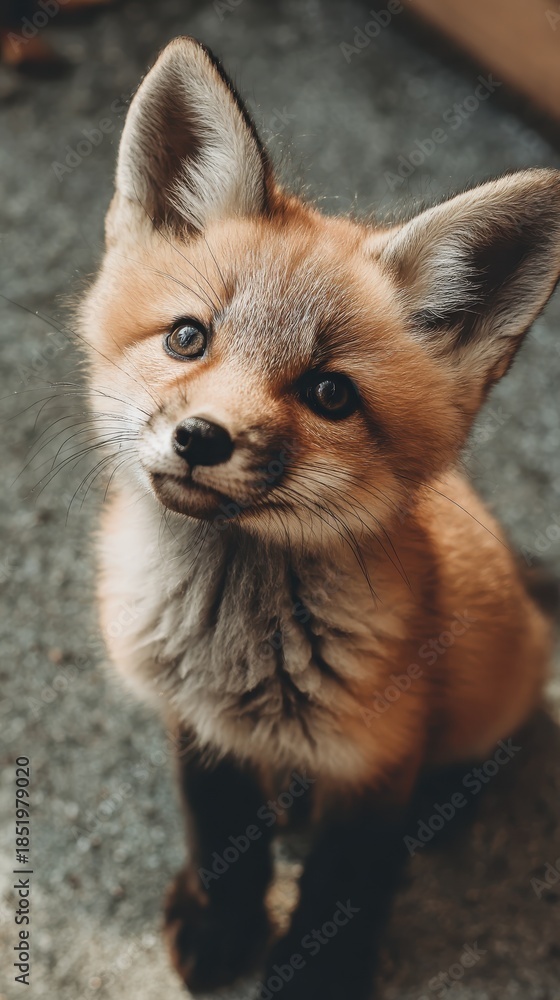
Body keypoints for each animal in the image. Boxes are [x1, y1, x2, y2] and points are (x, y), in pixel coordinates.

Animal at [78, 36, 560, 1000]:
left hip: (498, 685)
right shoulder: (199, 730)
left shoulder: (378, 756)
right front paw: (223, 925)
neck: (232, 658)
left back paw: (450, 804)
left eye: (331, 394)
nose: (202, 437)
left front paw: (317, 973)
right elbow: (226, 842)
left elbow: (346, 881)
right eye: (187, 338)